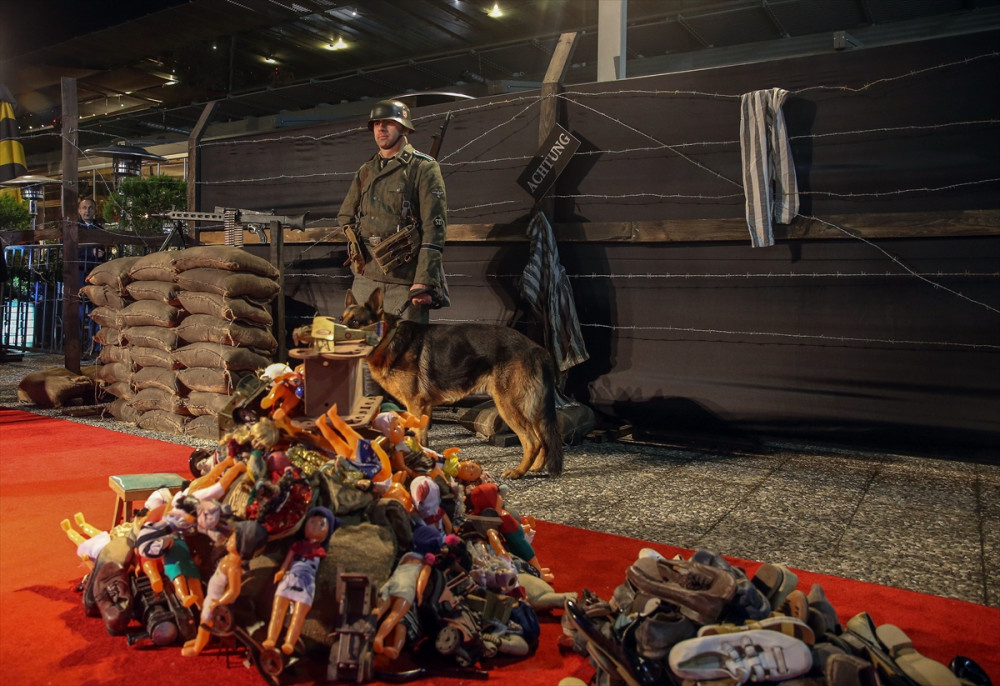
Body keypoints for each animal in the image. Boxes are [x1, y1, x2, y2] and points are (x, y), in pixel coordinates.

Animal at [342, 288, 564, 478]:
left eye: (355, 322)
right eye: (341, 320)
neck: (389, 338)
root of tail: (539, 350)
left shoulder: (416, 405)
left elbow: (419, 437)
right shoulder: (423, 407)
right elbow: (422, 438)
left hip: (508, 405)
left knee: (532, 441)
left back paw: (518, 472)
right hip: (528, 409)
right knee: (542, 440)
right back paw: (536, 467)